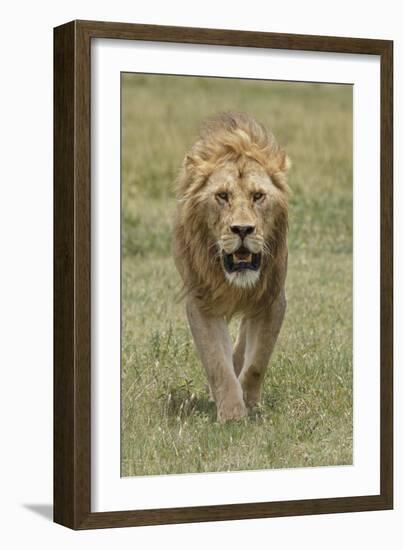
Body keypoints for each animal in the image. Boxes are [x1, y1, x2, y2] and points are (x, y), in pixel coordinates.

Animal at [174, 112, 290, 422]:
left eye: (258, 196)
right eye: (222, 196)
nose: (242, 229)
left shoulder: (272, 300)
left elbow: (257, 361)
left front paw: (249, 403)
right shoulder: (201, 303)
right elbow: (217, 363)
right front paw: (232, 415)